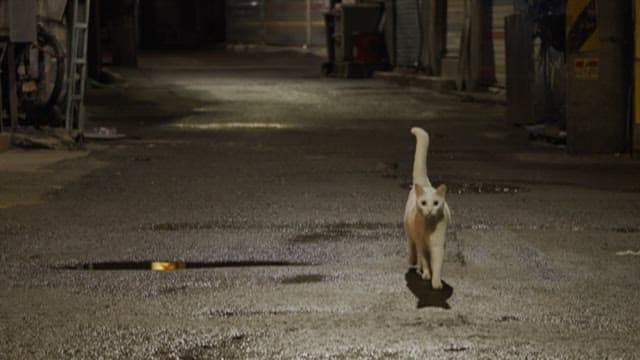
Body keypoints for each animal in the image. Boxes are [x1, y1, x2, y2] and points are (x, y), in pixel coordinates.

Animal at [404, 126, 450, 290]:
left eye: (435, 203)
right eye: (424, 203)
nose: (429, 210)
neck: (429, 227)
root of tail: (424, 184)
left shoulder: (438, 245)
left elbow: (437, 264)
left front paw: (436, 282)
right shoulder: (421, 244)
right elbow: (424, 259)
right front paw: (426, 274)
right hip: (410, 234)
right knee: (412, 248)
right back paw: (413, 264)